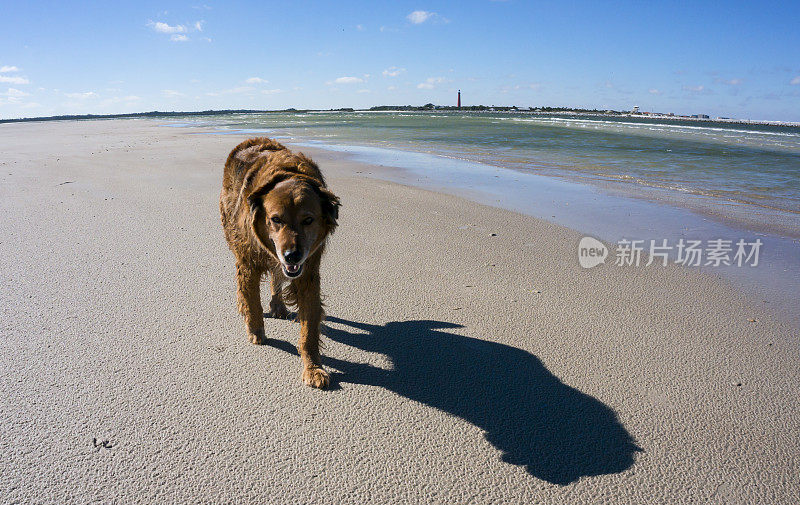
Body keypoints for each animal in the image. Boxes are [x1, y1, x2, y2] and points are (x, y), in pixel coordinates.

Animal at [219, 136, 340, 388]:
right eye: (275, 219)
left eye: (308, 220)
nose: (292, 255)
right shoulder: (248, 263)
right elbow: (252, 299)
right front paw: (255, 329)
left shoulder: (308, 272)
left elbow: (309, 329)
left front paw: (313, 367)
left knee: (277, 277)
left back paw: (278, 305)